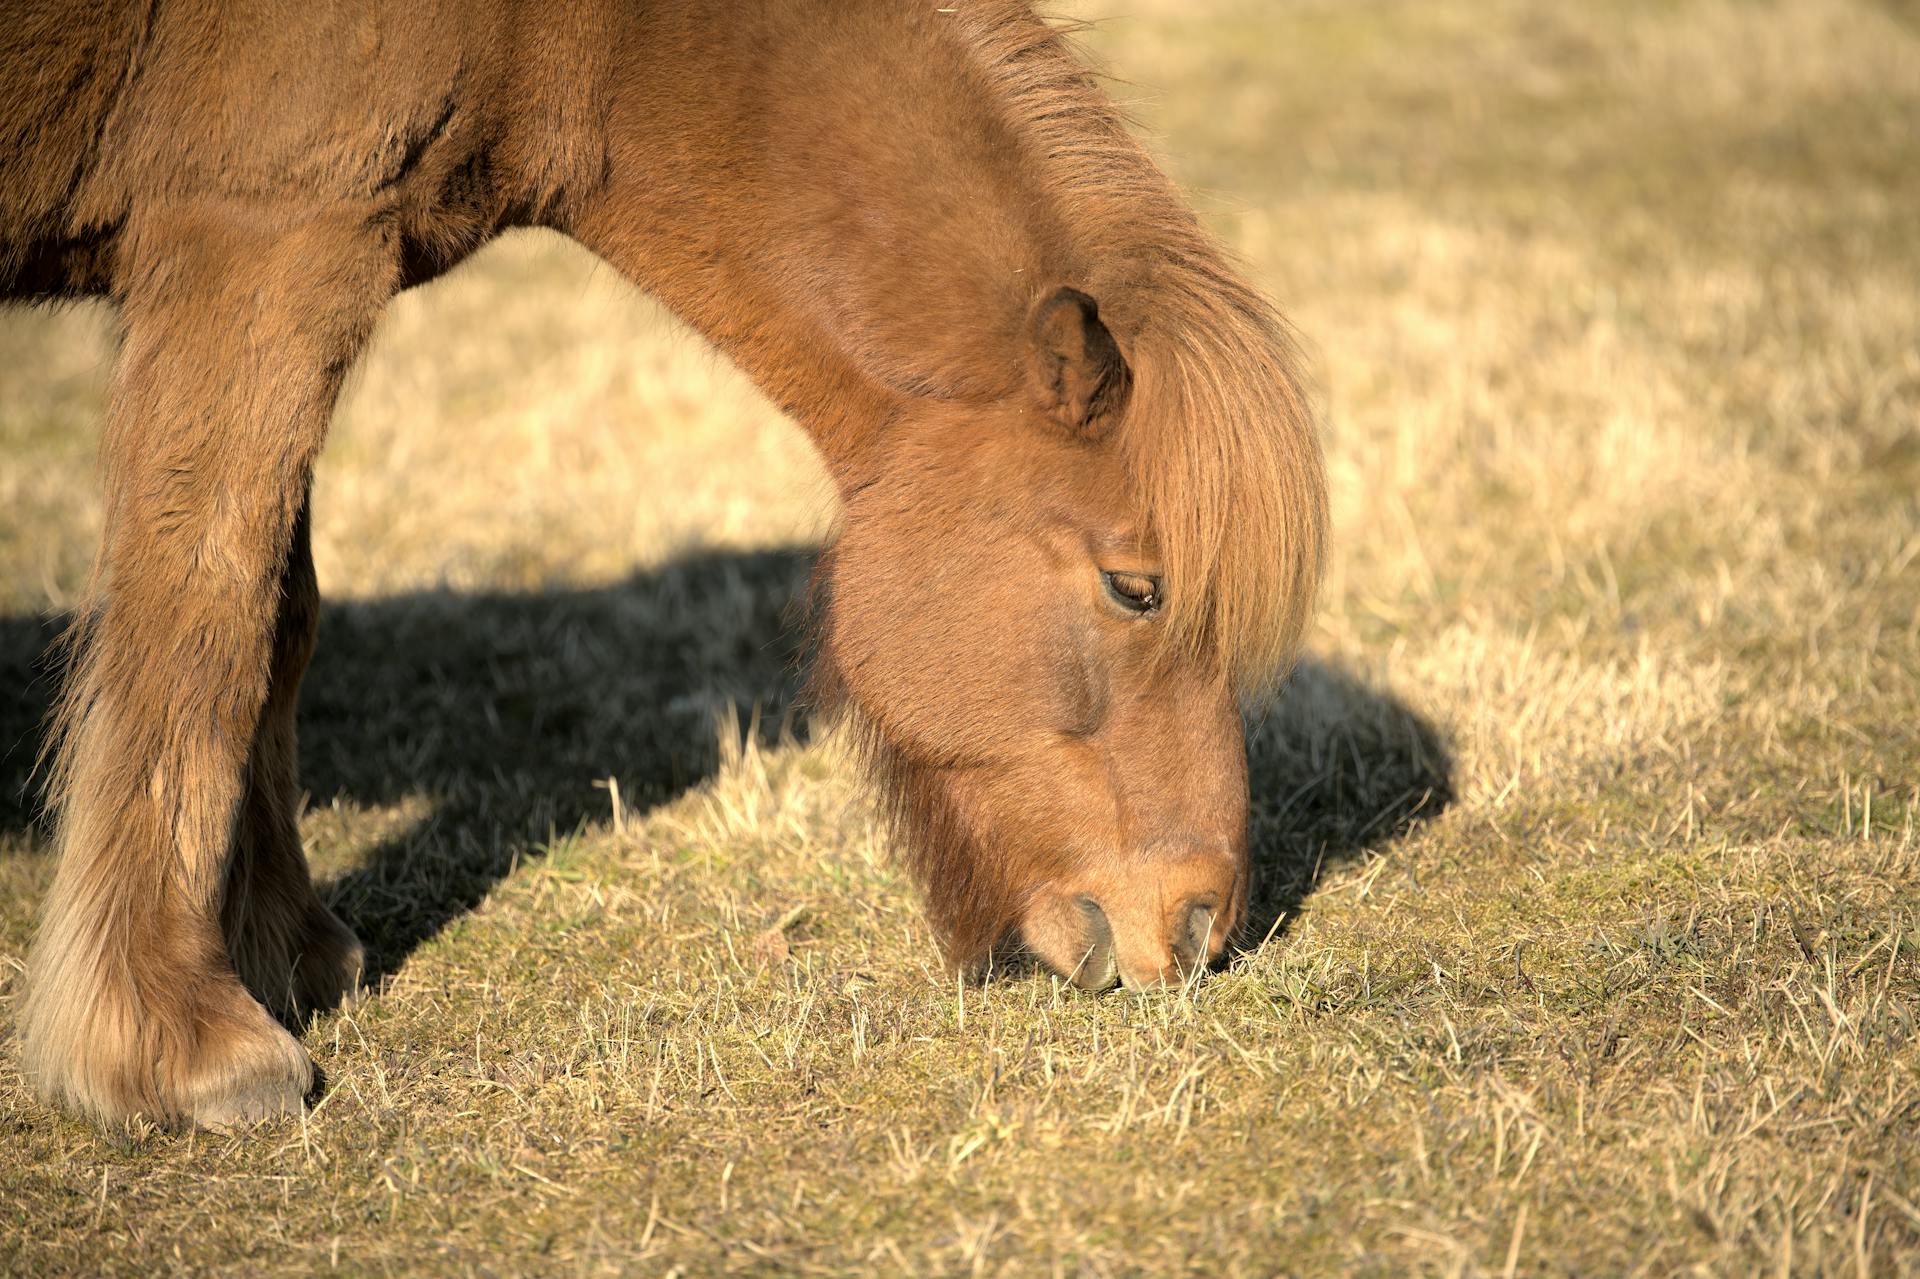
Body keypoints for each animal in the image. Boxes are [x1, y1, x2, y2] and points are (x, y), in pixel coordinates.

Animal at [0, 0, 1320, 1121]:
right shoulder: (262, 243)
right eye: (1135, 586)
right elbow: (204, 617)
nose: (1201, 926)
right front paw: (177, 1042)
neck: (566, 31)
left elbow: (280, 615)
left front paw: (287, 949)